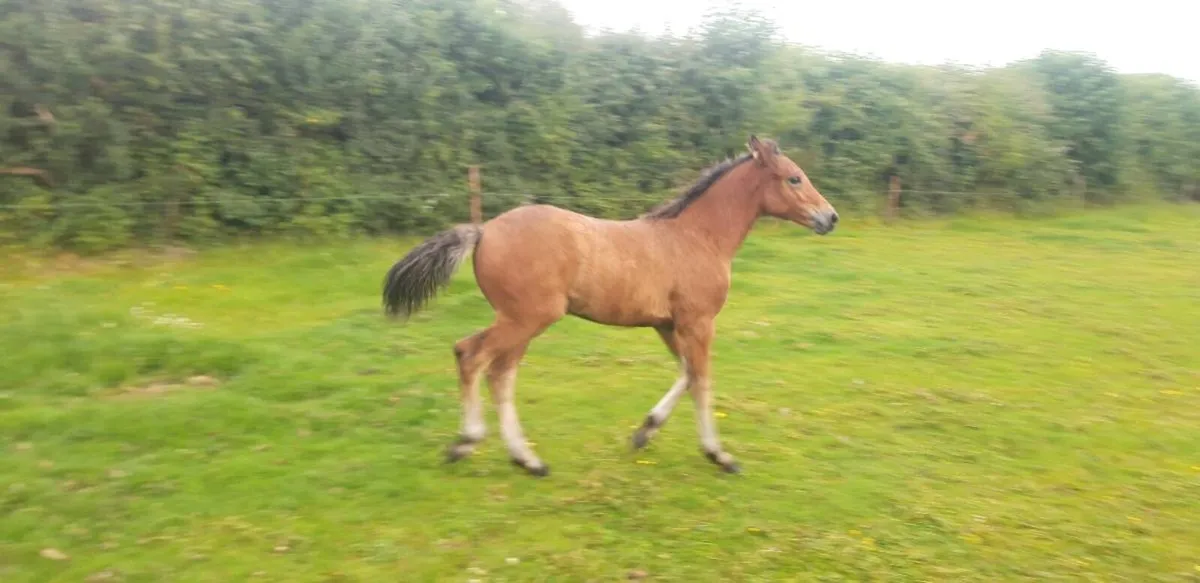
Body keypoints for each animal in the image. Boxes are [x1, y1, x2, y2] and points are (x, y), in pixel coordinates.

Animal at [383, 135, 838, 477]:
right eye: (794, 178)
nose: (830, 217)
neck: (697, 237)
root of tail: (483, 230)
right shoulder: (699, 321)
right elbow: (703, 381)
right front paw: (719, 455)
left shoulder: (667, 324)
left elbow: (687, 374)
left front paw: (644, 432)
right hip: (527, 318)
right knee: (474, 357)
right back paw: (473, 444)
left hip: (521, 321)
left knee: (495, 370)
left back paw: (524, 459)